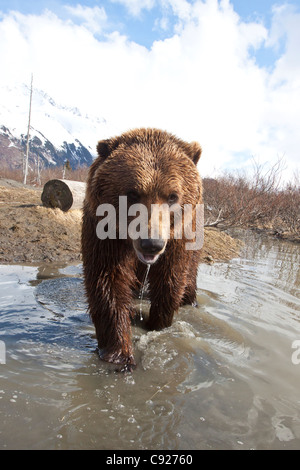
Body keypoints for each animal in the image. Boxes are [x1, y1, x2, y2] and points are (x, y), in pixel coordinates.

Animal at [81, 129, 203, 370]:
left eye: (172, 196)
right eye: (132, 193)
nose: (151, 243)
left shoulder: (177, 239)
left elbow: (170, 279)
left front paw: (158, 324)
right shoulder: (103, 232)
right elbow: (107, 281)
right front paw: (119, 352)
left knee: (189, 276)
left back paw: (190, 299)